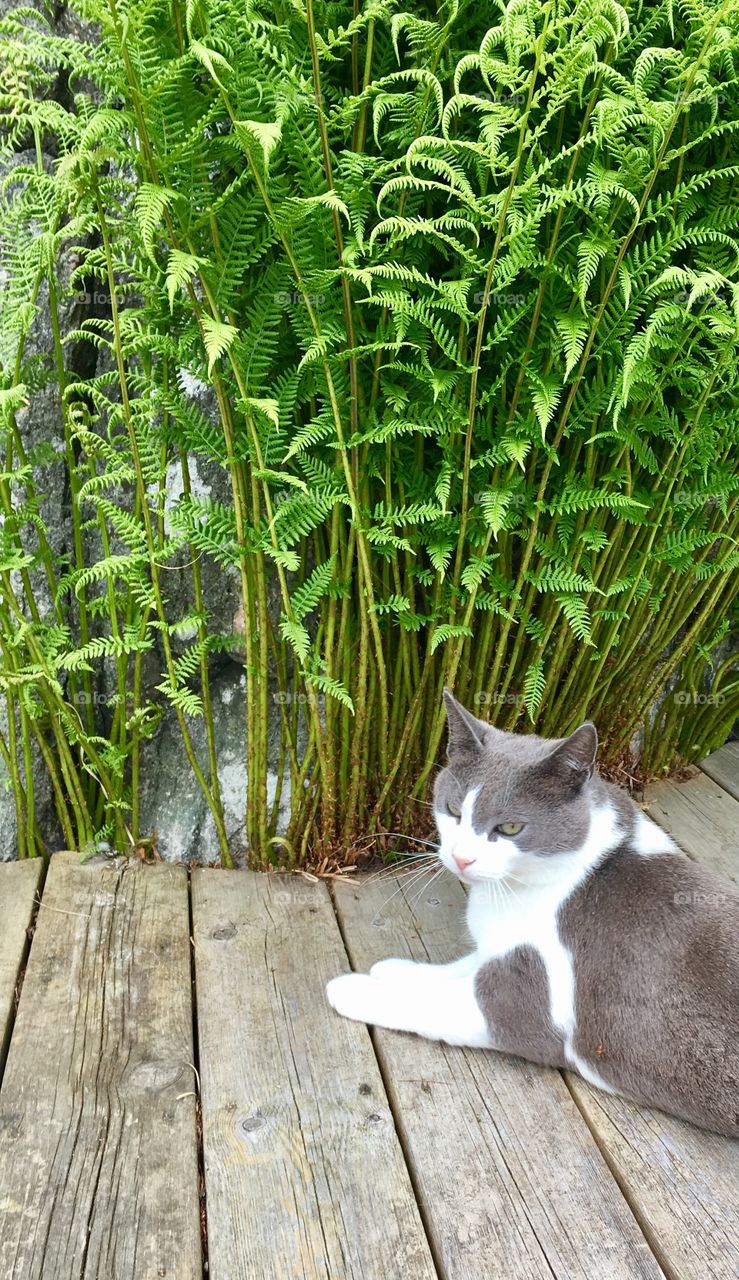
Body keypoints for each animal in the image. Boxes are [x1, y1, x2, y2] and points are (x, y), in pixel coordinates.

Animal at [327, 691, 737, 1141]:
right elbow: (460, 967)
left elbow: (437, 1004)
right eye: (452, 808)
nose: (461, 857)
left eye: (509, 828)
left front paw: (352, 988)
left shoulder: (531, 1001)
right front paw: (395, 970)